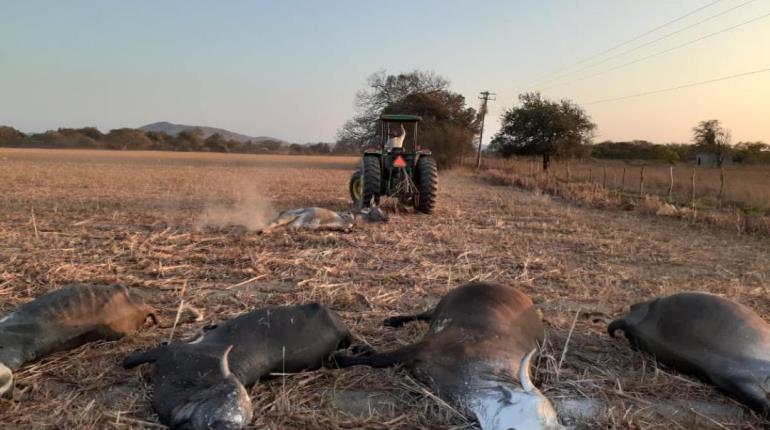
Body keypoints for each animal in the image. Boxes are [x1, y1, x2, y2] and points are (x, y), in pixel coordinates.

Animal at [328, 282, 560, 430]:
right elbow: (380, 359)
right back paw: (394, 320)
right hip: (443, 302)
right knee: (423, 314)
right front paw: (341, 359)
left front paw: (362, 350)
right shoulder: (429, 345)